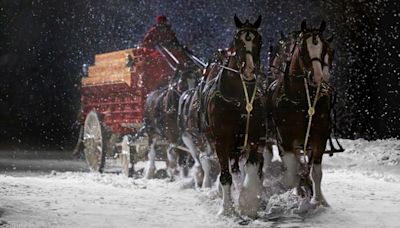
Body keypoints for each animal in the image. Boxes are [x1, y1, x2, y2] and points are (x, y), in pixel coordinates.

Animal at [205, 15, 264, 218]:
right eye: (237, 40)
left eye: (259, 40)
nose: (249, 70)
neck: (239, 97)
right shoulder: (221, 139)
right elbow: (225, 176)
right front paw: (227, 208)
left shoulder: (254, 136)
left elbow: (252, 167)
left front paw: (248, 203)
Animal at [268, 19, 334, 208]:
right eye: (303, 49)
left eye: (326, 49)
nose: (319, 77)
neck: (303, 100)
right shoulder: (285, 139)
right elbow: (292, 173)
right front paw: (300, 185)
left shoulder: (320, 136)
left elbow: (316, 172)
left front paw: (318, 199)